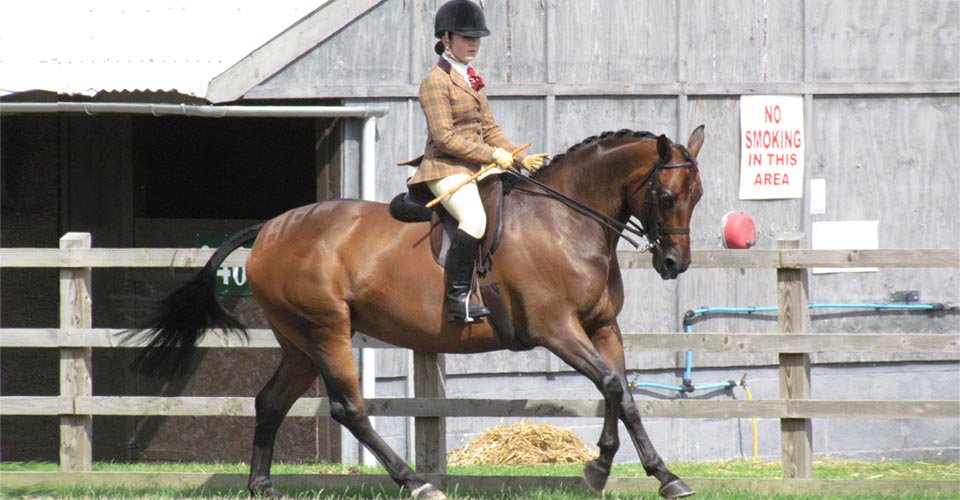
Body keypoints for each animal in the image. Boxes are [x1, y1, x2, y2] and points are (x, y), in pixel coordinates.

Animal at [129, 126, 705, 499]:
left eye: (696, 195)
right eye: (664, 194)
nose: (674, 264)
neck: (566, 220)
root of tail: (269, 228)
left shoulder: (600, 327)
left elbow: (622, 393)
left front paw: (634, 471)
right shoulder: (556, 329)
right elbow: (610, 385)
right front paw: (631, 471)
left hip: (298, 342)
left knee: (270, 402)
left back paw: (262, 487)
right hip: (326, 331)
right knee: (349, 409)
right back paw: (416, 482)